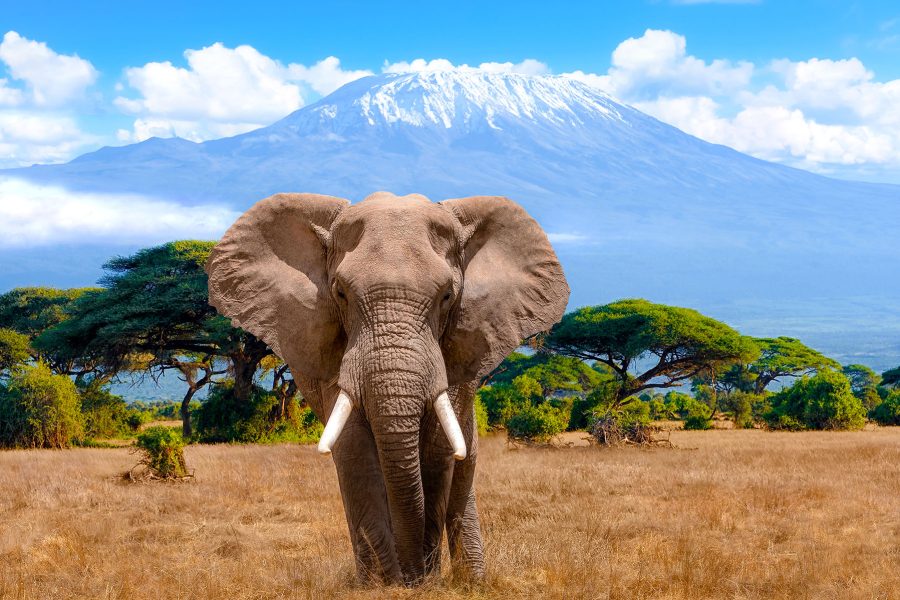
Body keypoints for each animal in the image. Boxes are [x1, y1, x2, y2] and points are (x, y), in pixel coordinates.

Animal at [205, 190, 568, 584]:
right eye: (341, 293)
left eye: (447, 296)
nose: (413, 576)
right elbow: (354, 451)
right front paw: (384, 584)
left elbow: (438, 452)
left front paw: (423, 582)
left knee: (463, 468)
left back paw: (472, 581)